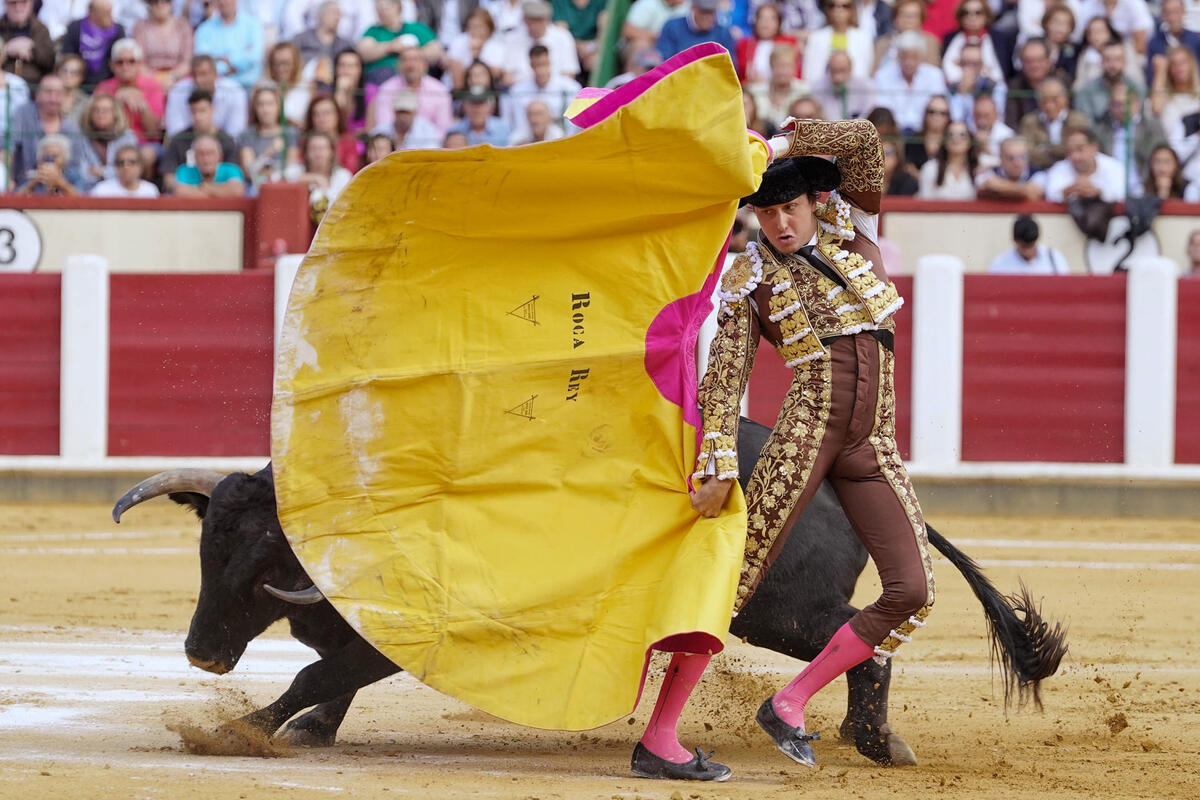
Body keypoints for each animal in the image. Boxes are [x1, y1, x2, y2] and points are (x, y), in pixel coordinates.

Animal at [112, 419, 1070, 762]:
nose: (202, 652)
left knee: (868, 646)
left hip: (787, 611)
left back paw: (875, 743)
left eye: (264, 555)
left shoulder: (401, 637)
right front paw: (308, 730)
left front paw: (236, 730)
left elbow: (320, 672)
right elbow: (327, 677)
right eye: (207, 543)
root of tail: (837, 476)